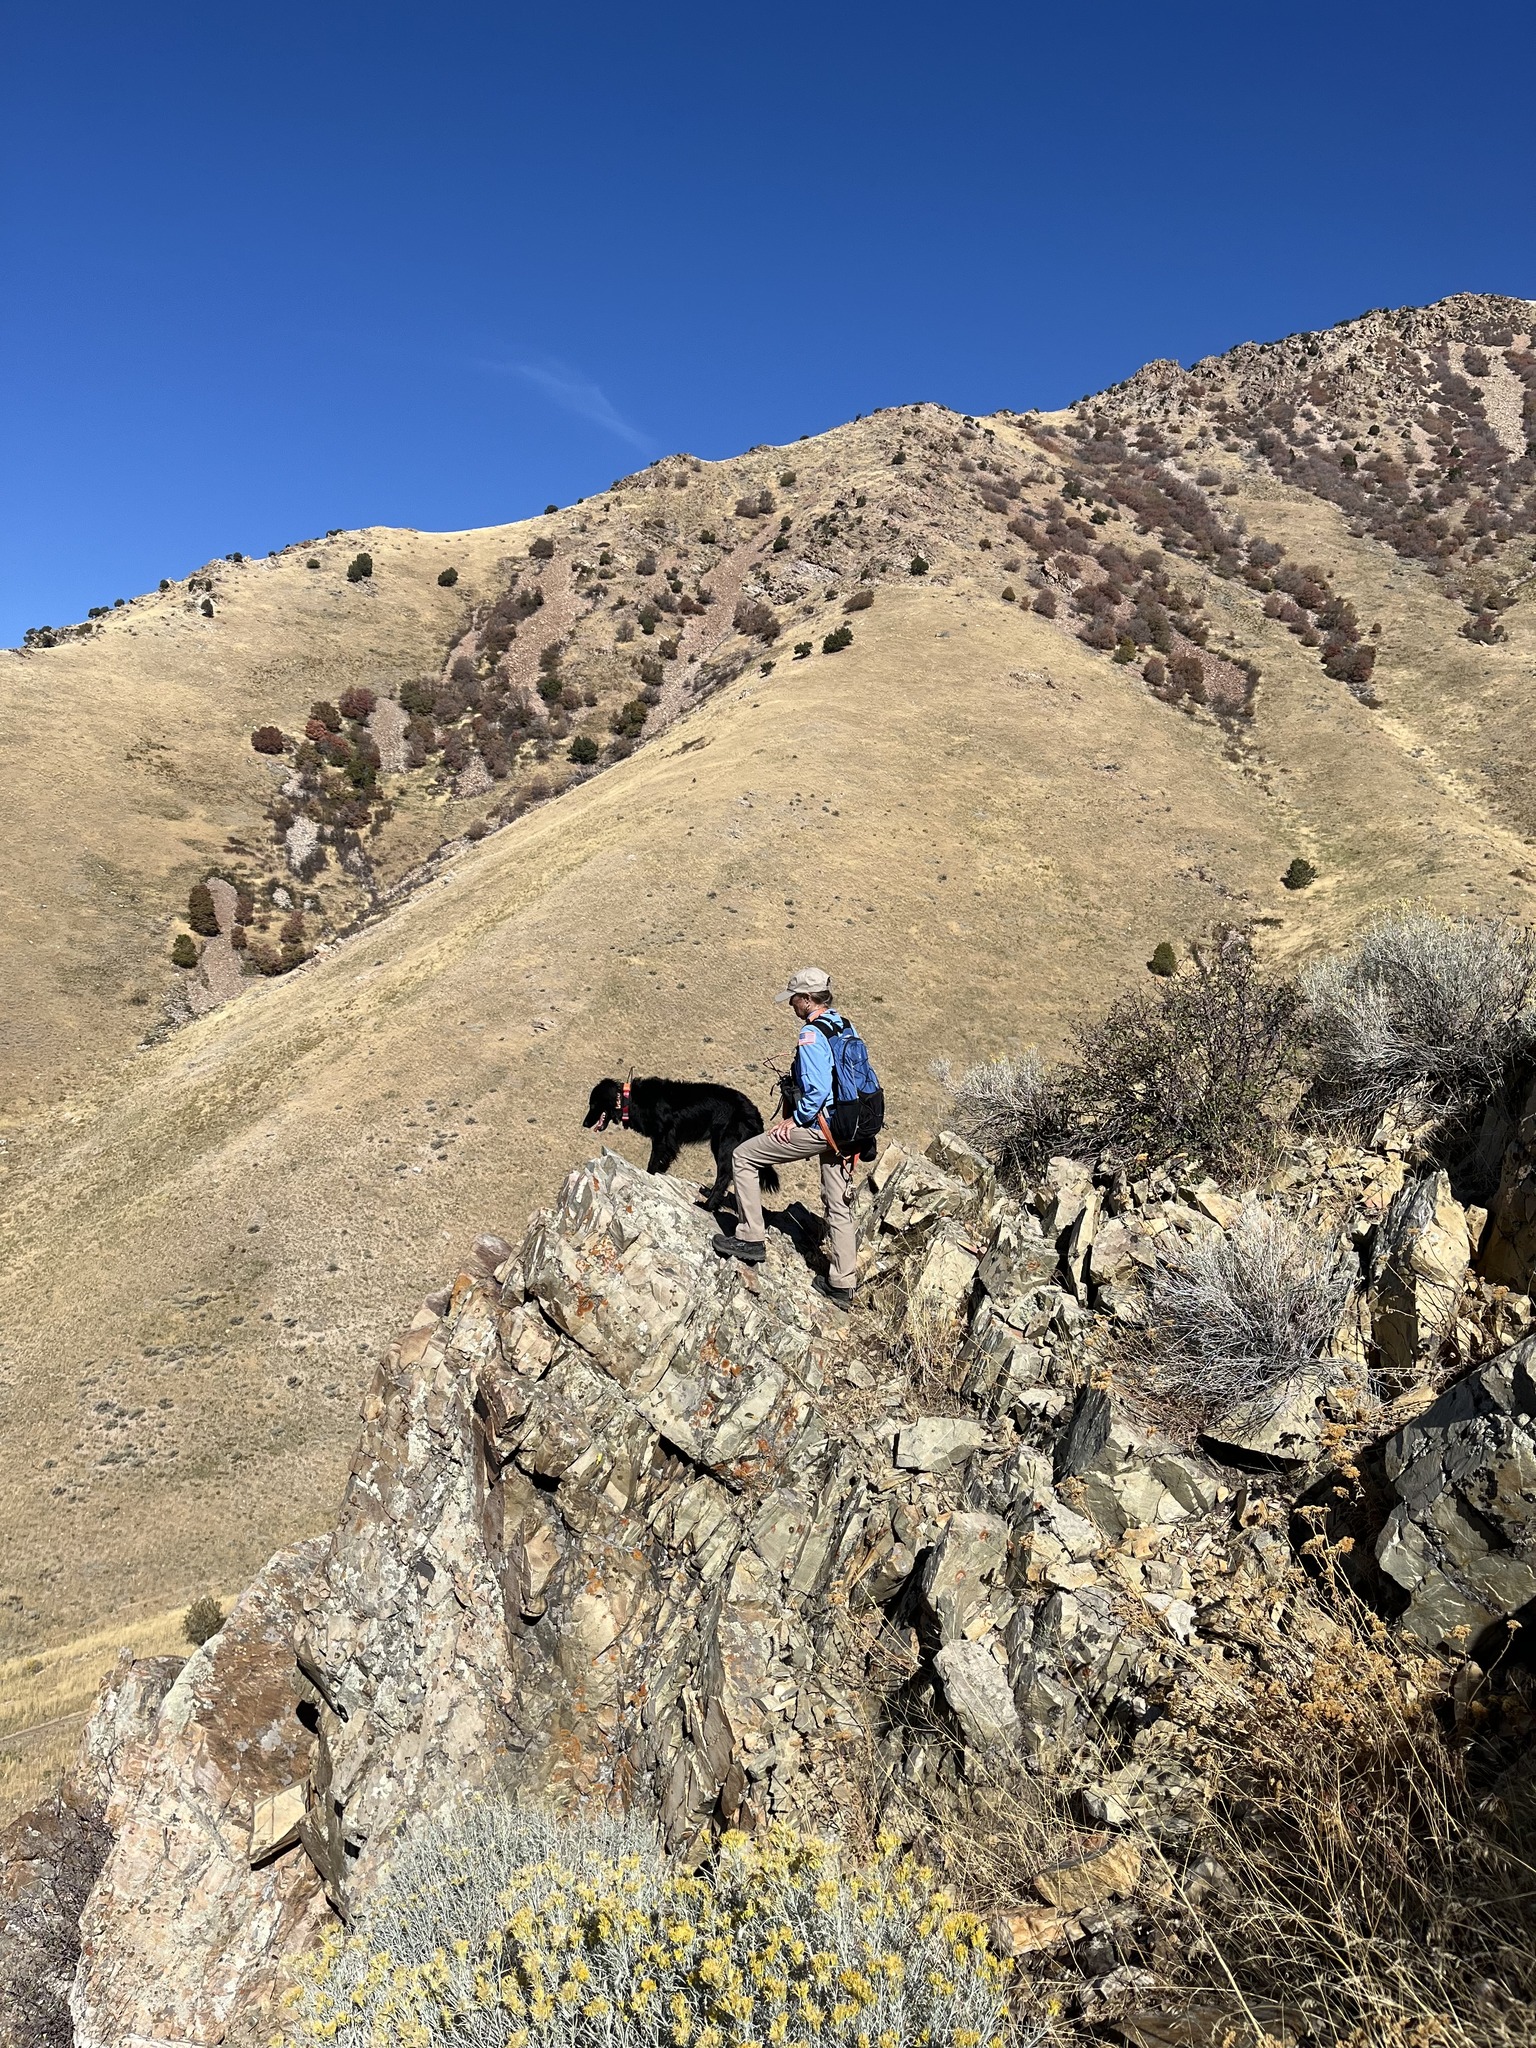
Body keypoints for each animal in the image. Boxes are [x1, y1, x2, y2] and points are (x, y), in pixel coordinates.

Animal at [585, 1081, 782, 1204]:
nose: (584, 1123)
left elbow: (652, 1163)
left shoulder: (661, 1137)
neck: (631, 1100)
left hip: (724, 1145)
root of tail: (755, 1114)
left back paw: (708, 1205)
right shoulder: (670, 1142)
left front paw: (650, 1176)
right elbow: (664, 1160)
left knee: (724, 1176)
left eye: (593, 1105)